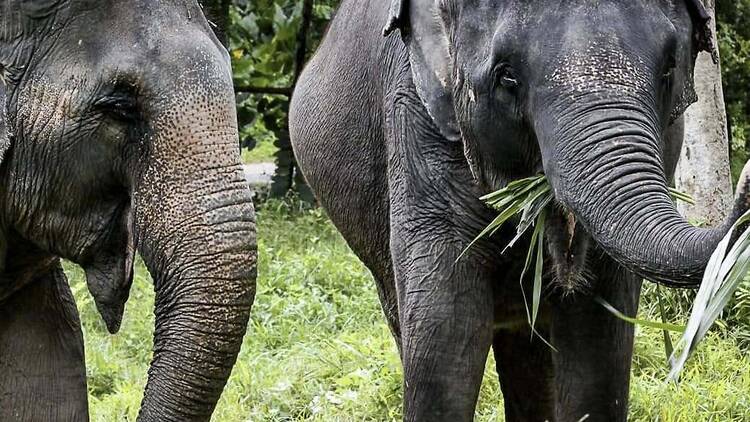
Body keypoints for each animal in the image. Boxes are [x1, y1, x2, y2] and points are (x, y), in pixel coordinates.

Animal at [290, 0, 750, 420]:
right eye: (507, 76)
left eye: (669, 69)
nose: (746, 175)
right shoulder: (415, 118)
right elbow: (445, 325)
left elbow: (599, 330)